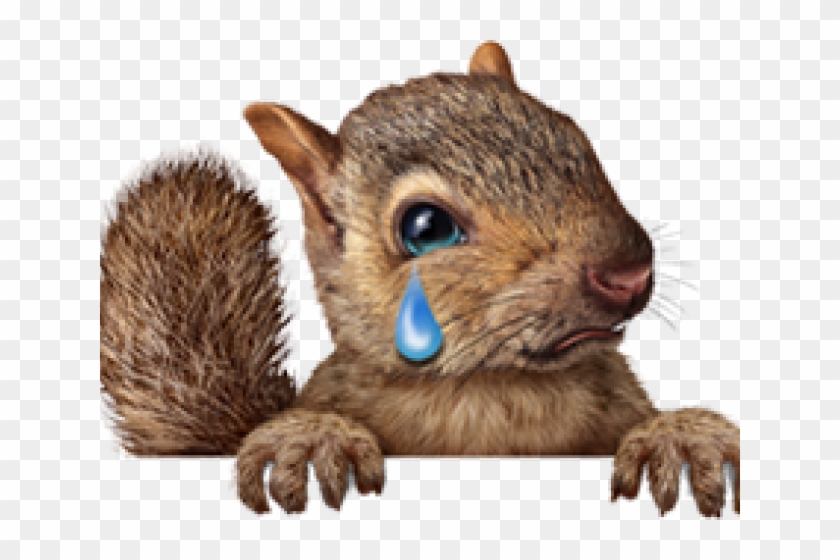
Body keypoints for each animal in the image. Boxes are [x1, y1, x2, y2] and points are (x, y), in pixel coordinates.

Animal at [100, 41, 740, 517]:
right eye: (425, 227)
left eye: (578, 142)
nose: (627, 272)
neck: (492, 395)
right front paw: (310, 438)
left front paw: (682, 436)